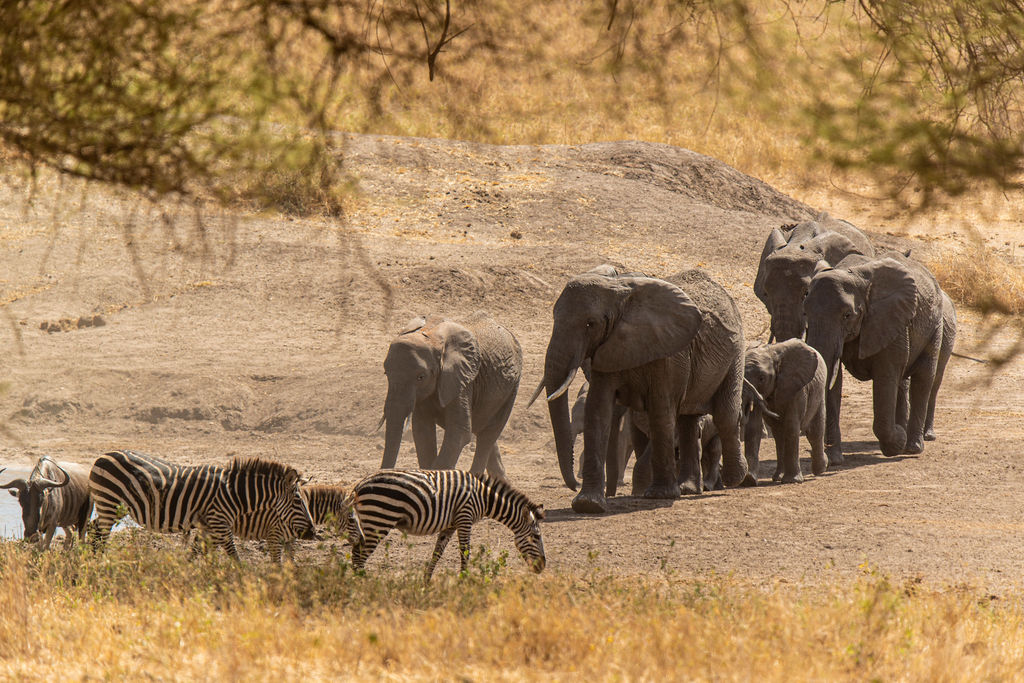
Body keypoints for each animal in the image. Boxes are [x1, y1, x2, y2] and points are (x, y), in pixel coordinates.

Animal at [380, 312, 522, 478]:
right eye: (386, 373)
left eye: (420, 377)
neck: (430, 337)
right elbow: (422, 432)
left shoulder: (461, 378)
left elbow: (459, 432)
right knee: (481, 429)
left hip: (512, 387)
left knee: (488, 435)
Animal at [534, 265, 749, 513]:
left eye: (590, 323)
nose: (573, 485)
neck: (620, 295)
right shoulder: (608, 348)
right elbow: (598, 411)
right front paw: (588, 504)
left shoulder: (670, 352)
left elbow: (661, 412)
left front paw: (660, 496)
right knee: (687, 422)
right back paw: (687, 488)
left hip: (735, 350)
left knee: (724, 413)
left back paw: (734, 479)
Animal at [742, 339, 827, 483]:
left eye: (761, 378)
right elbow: (753, 427)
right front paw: (749, 480)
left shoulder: (797, 387)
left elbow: (791, 425)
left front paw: (793, 481)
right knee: (779, 435)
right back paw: (778, 477)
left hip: (819, 393)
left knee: (815, 431)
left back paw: (820, 469)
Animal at [803, 251, 956, 462]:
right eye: (805, 313)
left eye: (847, 315)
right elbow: (835, 379)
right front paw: (834, 459)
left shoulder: (891, 319)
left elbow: (886, 374)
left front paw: (897, 442)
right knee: (904, 381)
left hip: (935, 326)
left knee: (925, 378)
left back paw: (913, 447)